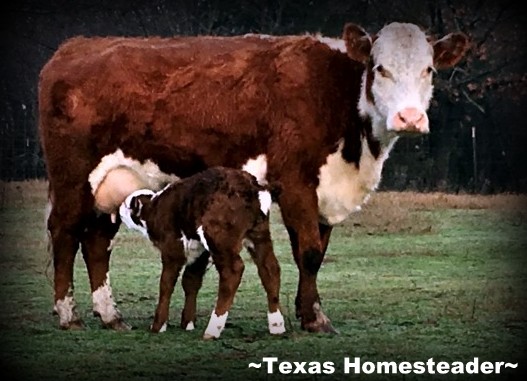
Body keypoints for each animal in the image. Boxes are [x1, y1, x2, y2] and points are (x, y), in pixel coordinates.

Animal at [118, 167, 286, 338]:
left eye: (127, 203)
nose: (119, 208)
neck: (154, 209)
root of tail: (252, 186)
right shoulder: (200, 251)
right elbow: (190, 280)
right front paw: (188, 323)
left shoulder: (172, 248)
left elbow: (166, 283)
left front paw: (158, 326)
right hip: (259, 234)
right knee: (270, 268)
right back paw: (277, 325)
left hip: (218, 236)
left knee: (233, 271)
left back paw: (213, 329)